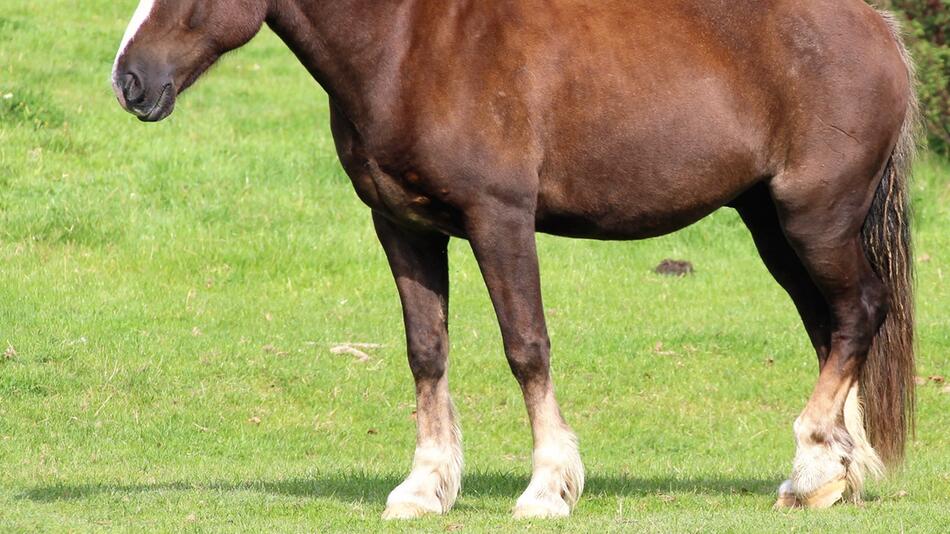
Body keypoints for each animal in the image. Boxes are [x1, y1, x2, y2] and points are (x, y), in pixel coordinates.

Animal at [109, 0, 916, 520]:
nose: (129, 80)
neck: (408, 46)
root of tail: (879, 28)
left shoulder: (500, 221)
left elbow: (526, 347)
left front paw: (548, 488)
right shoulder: (403, 229)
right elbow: (426, 351)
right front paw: (424, 489)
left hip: (814, 220)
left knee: (856, 314)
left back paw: (812, 469)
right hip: (773, 225)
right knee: (829, 326)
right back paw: (829, 474)